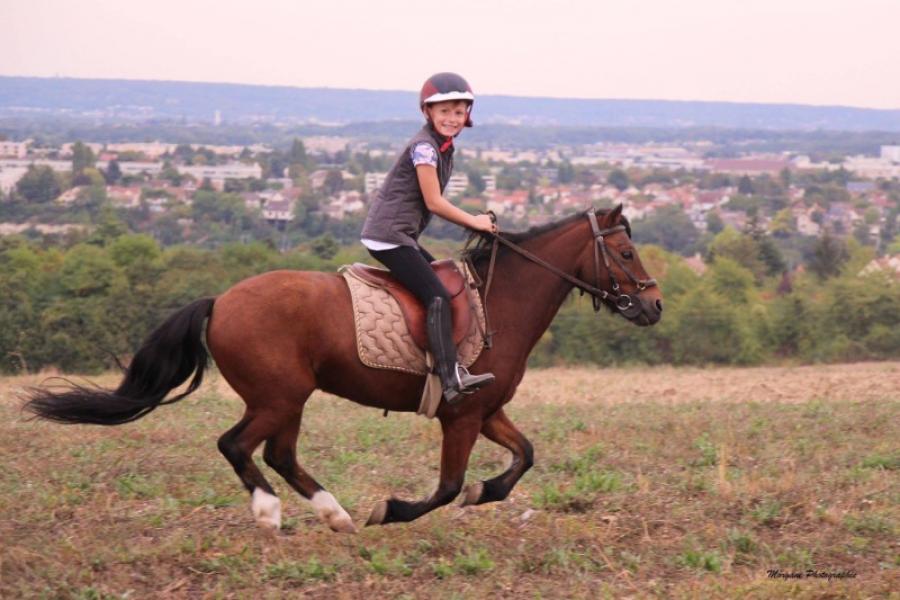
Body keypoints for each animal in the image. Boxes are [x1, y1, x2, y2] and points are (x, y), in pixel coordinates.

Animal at [26, 207, 660, 536]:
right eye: (626, 253)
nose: (654, 306)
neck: (499, 301)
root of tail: (220, 300)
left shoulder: (487, 410)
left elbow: (523, 457)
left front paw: (486, 492)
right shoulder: (461, 414)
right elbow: (447, 486)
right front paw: (393, 510)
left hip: (288, 399)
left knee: (278, 454)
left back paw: (335, 514)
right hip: (279, 397)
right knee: (237, 446)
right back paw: (272, 513)